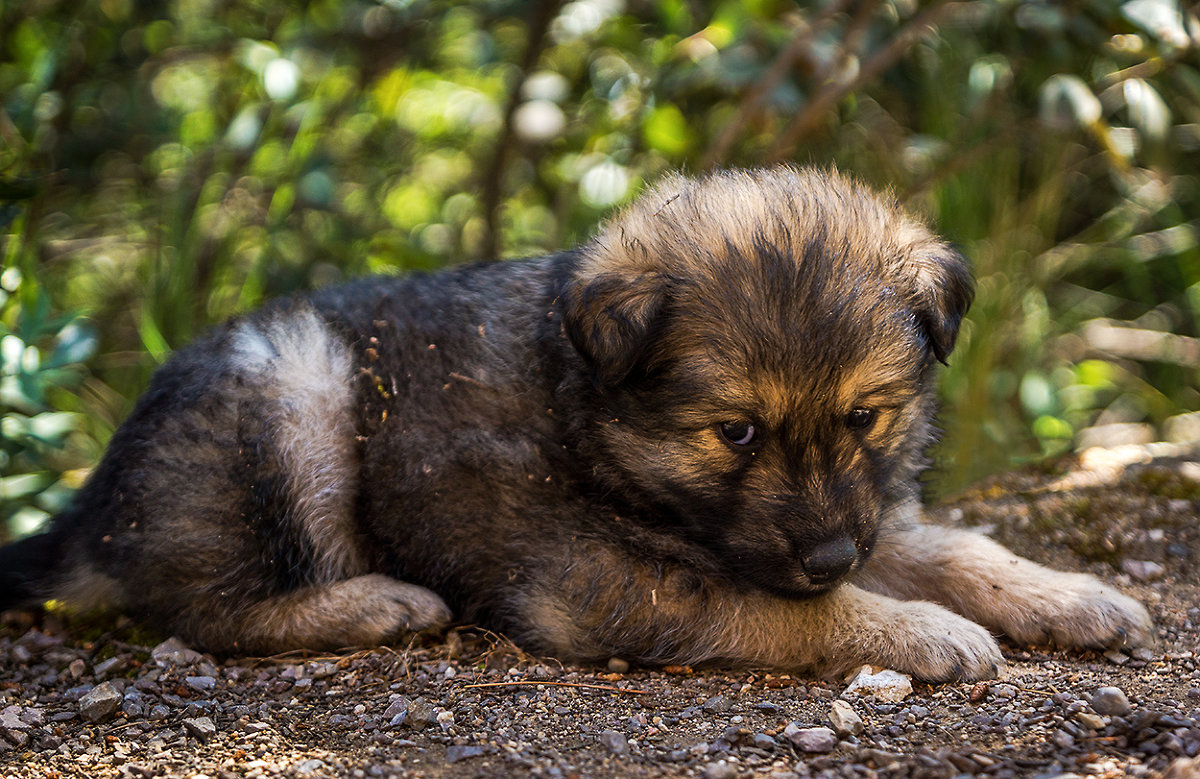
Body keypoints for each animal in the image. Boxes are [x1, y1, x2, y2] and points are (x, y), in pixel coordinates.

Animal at [0, 166, 1147, 676]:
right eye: (735, 432)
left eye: (866, 416)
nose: (828, 554)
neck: (585, 412)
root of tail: (97, 505)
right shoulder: (602, 582)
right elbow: (797, 615)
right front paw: (921, 629)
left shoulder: (851, 517)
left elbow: (954, 545)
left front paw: (1066, 593)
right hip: (294, 385)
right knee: (206, 609)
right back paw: (374, 603)